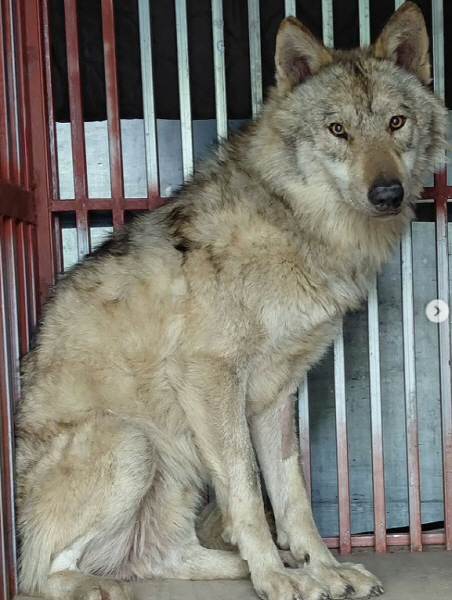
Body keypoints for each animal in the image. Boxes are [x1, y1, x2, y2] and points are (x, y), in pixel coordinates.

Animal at [16, 3, 448, 600]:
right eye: (337, 129)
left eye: (396, 123)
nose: (387, 194)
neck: (298, 229)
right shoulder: (212, 377)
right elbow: (247, 491)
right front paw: (277, 578)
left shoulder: (275, 397)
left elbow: (292, 498)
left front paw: (321, 567)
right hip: (133, 443)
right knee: (39, 572)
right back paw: (96, 584)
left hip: (174, 474)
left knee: (158, 558)